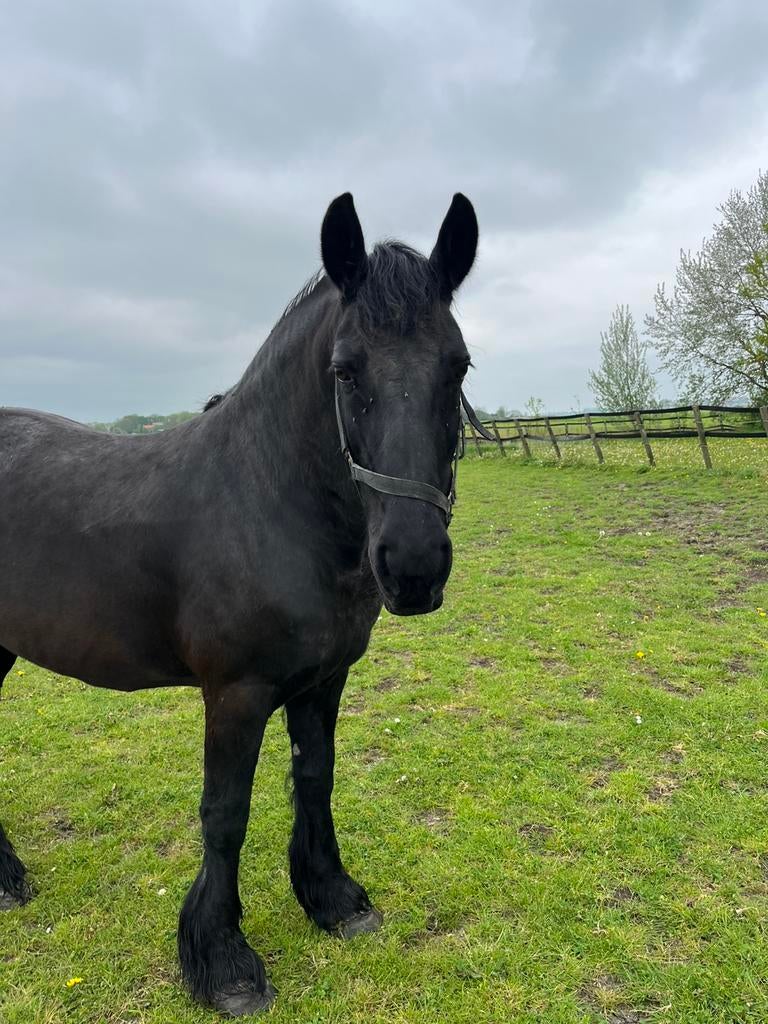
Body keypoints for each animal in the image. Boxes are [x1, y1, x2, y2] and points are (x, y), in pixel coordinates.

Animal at [0, 192, 479, 1016]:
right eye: (345, 370)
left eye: (459, 365)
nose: (414, 567)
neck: (269, 502)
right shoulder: (235, 693)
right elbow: (225, 815)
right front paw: (223, 962)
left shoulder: (324, 681)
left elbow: (314, 777)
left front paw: (333, 899)